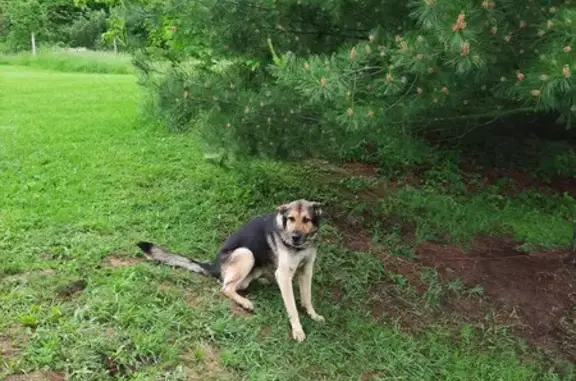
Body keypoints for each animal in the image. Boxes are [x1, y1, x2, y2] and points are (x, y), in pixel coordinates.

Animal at [134, 199, 324, 342]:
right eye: (291, 218)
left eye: (306, 220)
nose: (295, 237)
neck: (302, 245)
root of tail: (214, 265)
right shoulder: (284, 274)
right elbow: (292, 307)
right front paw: (297, 330)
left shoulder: (307, 269)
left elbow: (307, 297)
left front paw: (313, 314)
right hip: (246, 254)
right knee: (226, 287)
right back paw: (245, 302)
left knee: (234, 283)